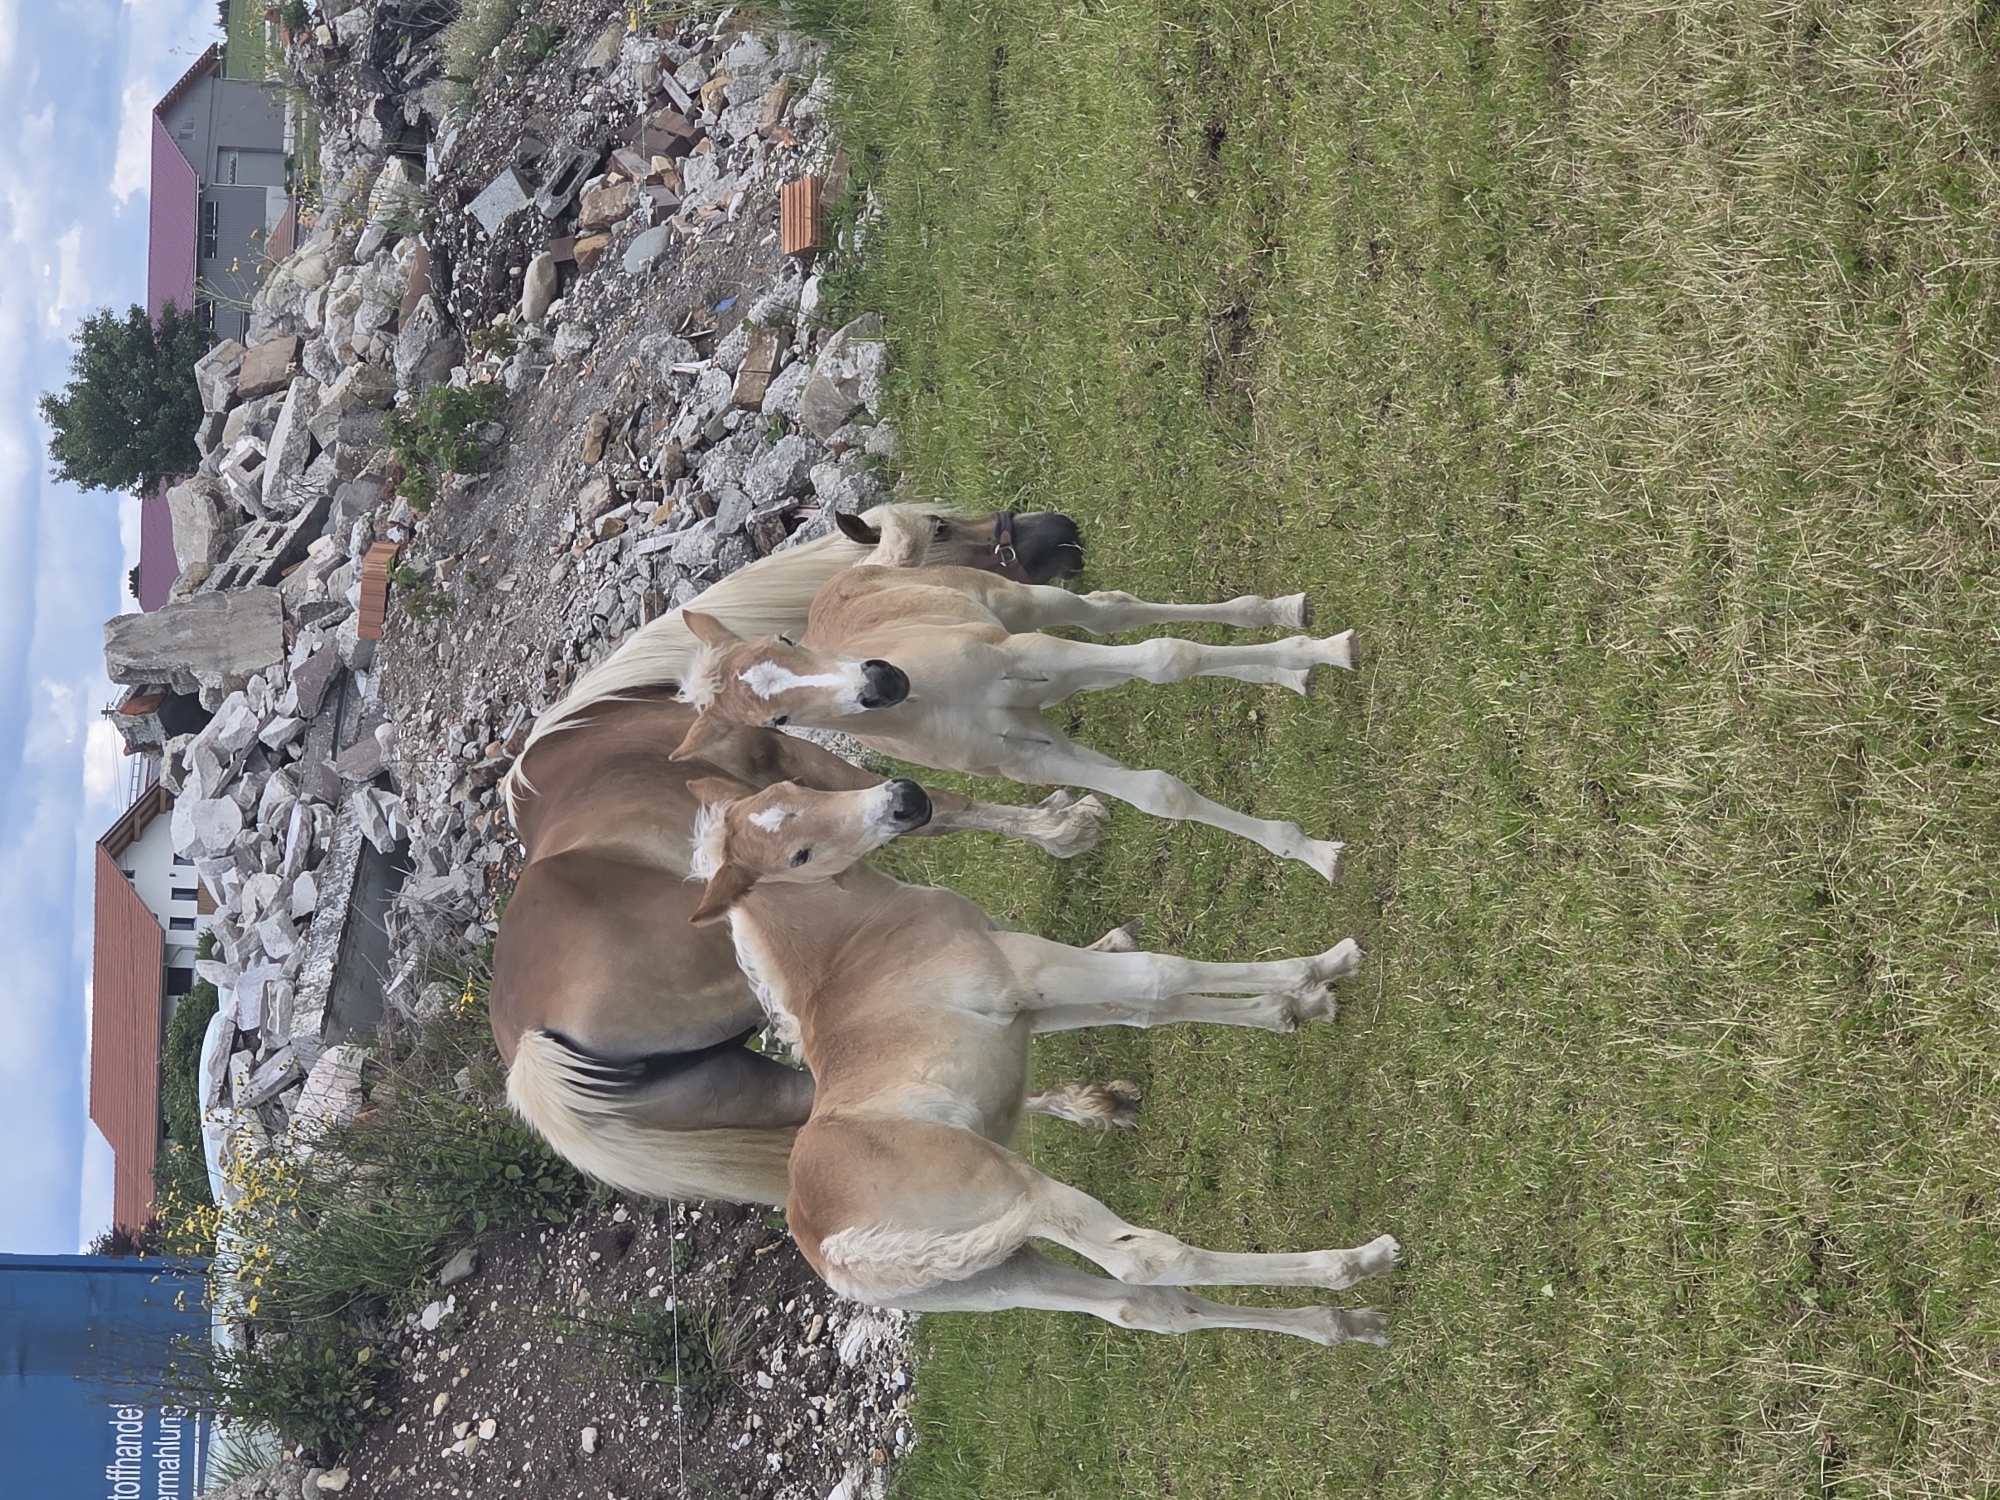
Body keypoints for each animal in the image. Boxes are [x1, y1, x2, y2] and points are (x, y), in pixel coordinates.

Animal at [492, 506, 1102, 1206]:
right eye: (942, 530)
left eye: (787, 640)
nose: (1059, 531)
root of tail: (531, 1051)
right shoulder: (810, 771)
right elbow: (946, 810)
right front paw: (1063, 827)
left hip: (734, 1085)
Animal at [667, 509, 1359, 881]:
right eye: (777, 720)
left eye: (786, 640)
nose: (882, 681)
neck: (934, 700)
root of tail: (856, 570)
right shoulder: (1030, 757)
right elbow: (1160, 792)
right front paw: (1310, 851)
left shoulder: (1033, 653)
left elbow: (1170, 657)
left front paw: (1320, 651)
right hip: (1043, 706)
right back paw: (1285, 670)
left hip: (1027, 608)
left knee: (1112, 614)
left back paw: (1283, 620)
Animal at [680, 775, 1400, 1344]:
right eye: (797, 853)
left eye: (793, 790)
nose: (906, 800)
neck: (854, 948)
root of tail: (834, 1249)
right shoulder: (1026, 966)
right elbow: (1163, 974)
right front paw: (1324, 967)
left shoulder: (1028, 1008)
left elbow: (1145, 1007)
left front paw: (1292, 1008)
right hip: (1023, 1196)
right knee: (1146, 1261)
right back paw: (1357, 1263)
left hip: (996, 1277)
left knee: (1142, 1308)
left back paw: (1346, 1326)